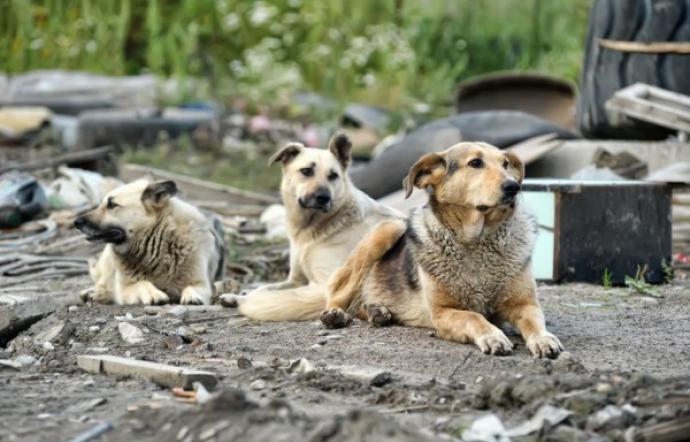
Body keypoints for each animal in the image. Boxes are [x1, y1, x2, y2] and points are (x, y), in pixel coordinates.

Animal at [75, 179, 226, 304]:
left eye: (112, 205)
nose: (76, 223)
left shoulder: (201, 283)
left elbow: (192, 287)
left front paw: (192, 295)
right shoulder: (126, 288)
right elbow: (143, 283)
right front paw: (154, 294)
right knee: (102, 283)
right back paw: (96, 293)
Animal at [234, 133, 400, 320]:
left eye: (333, 175)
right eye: (306, 171)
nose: (323, 197)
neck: (310, 232)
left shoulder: (322, 283)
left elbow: (273, 295)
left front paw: (242, 299)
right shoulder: (295, 280)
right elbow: (265, 287)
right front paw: (236, 296)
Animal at [320, 142, 560, 360]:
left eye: (505, 164)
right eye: (475, 163)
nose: (513, 187)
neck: (477, 241)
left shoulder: (524, 304)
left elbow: (535, 322)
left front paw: (544, 339)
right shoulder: (442, 312)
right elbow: (473, 317)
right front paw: (493, 336)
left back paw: (378, 311)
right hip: (389, 228)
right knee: (340, 293)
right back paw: (336, 314)